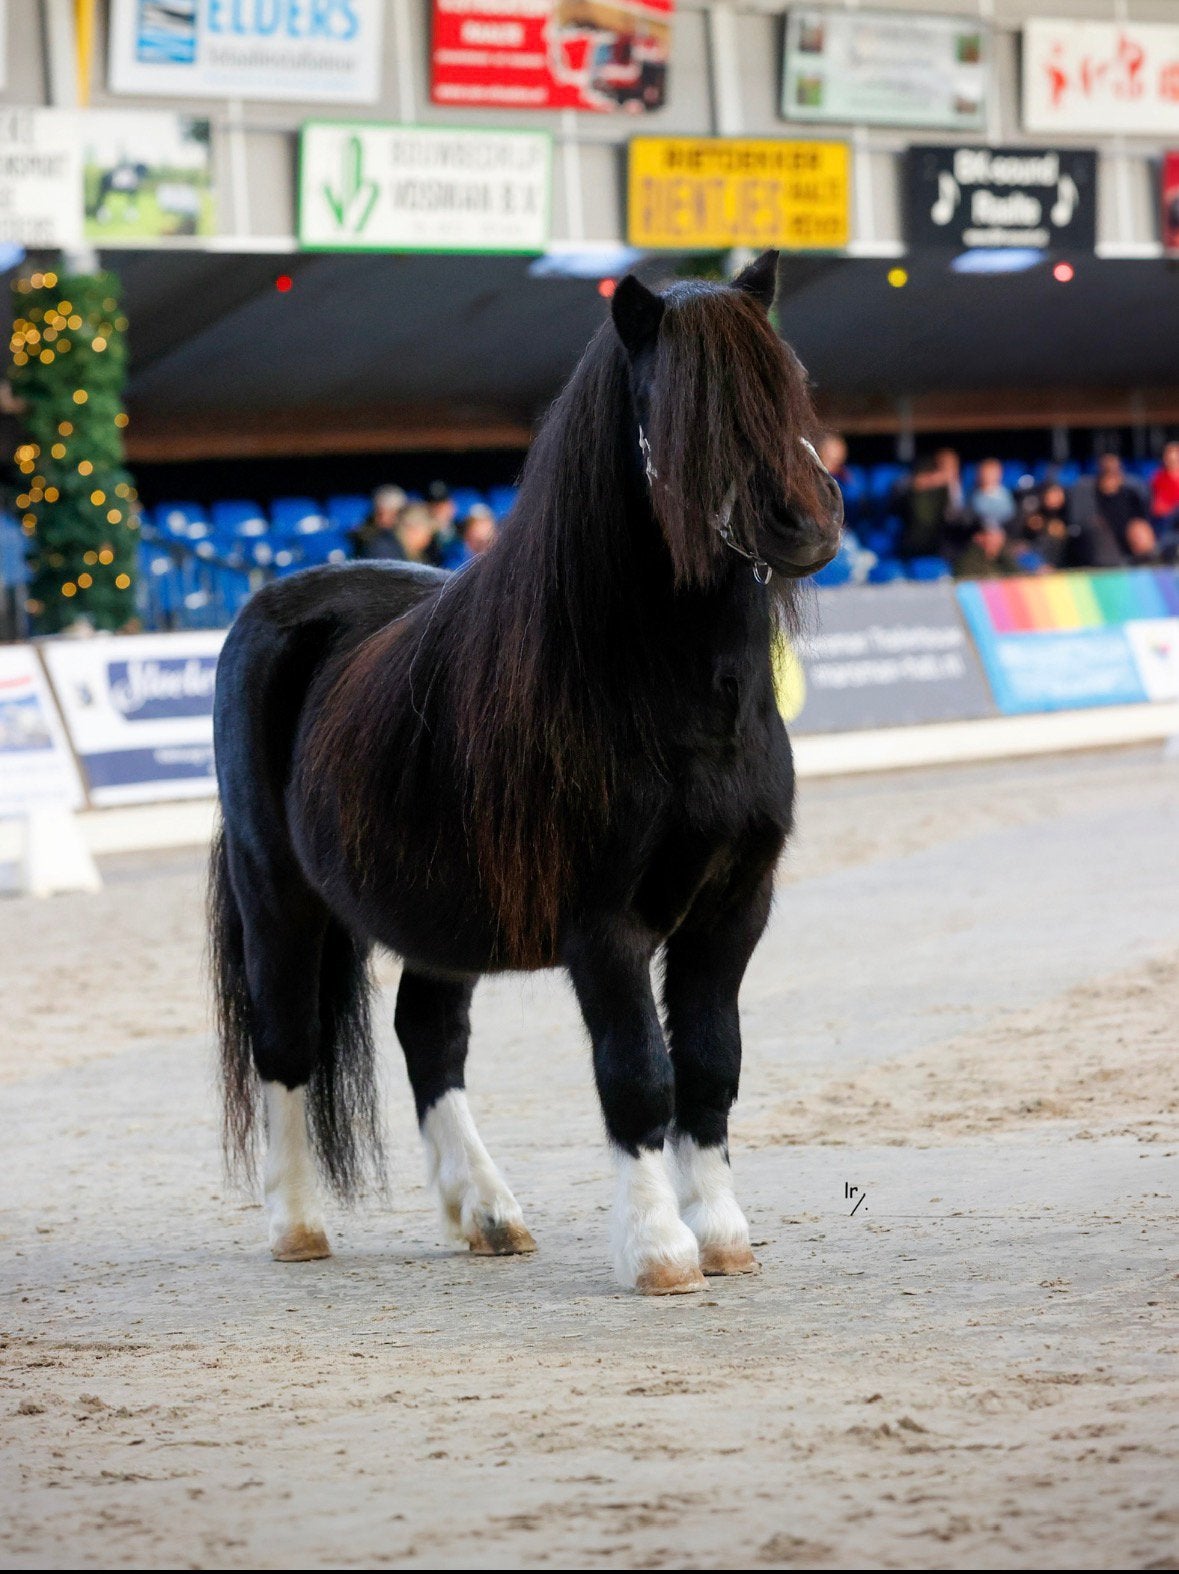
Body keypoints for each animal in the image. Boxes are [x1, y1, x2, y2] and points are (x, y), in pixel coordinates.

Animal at [209, 250, 844, 1295]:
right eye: (681, 403)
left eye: (788, 380)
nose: (805, 520)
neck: (663, 690)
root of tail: (279, 604)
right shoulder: (605, 925)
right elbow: (638, 1074)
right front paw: (659, 1250)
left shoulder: (730, 910)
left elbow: (710, 1067)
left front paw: (721, 1235)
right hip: (279, 899)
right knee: (286, 1041)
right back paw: (297, 1224)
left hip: (433, 917)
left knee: (428, 1037)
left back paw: (488, 1212)